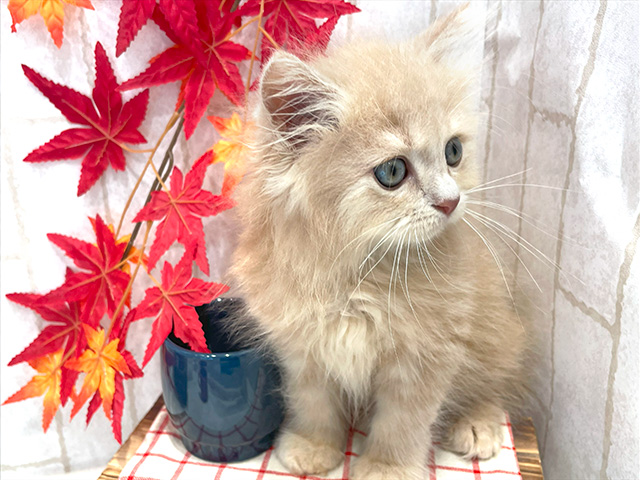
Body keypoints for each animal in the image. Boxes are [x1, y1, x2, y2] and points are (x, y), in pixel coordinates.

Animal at [230, 5, 528, 480]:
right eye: (392, 171)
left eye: (453, 152)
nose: (451, 201)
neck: (358, 278)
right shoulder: (302, 348)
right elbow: (313, 404)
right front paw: (314, 447)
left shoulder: (427, 353)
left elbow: (402, 421)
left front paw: (389, 466)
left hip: (494, 331)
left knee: (496, 380)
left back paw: (478, 422)